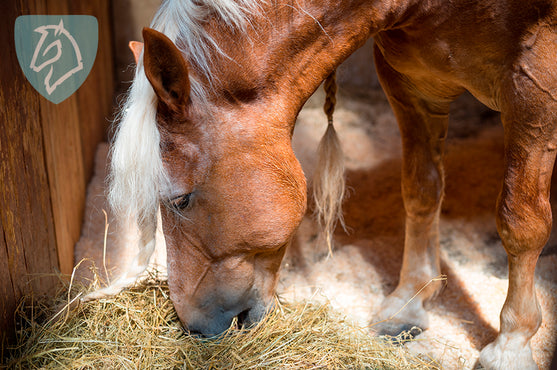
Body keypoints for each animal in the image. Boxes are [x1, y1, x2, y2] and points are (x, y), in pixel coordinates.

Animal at [83, 1, 556, 368]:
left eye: (180, 200)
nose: (195, 328)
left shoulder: (536, 91)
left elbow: (520, 223)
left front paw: (511, 345)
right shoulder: (411, 83)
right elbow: (421, 192)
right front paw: (409, 301)